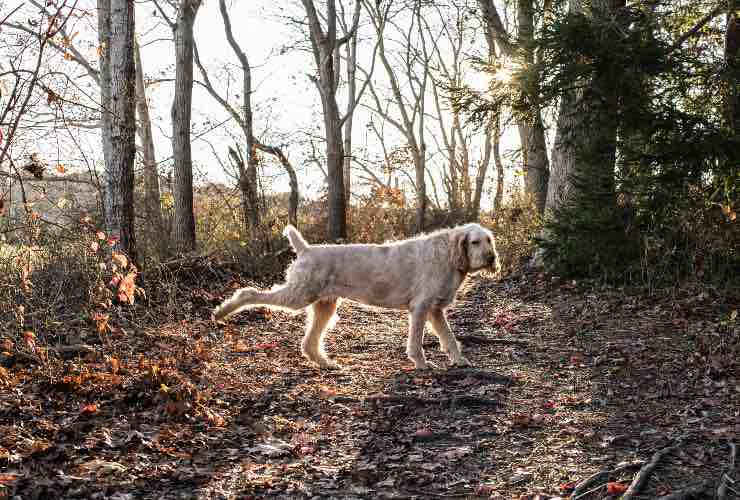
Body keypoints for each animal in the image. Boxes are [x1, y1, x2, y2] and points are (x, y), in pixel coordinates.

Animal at [215, 225, 502, 370]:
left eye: (490, 240)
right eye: (475, 242)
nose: (491, 258)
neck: (449, 255)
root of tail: (305, 249)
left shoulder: (435, 311)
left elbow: (450, 339)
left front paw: (460, 361)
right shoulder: (421, 308)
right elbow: (417, 342)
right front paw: (421, 364)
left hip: (325, 306)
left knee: (308, 343)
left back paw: (326, 364)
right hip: (298, 296)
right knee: (249, 292)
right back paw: (221, 312)